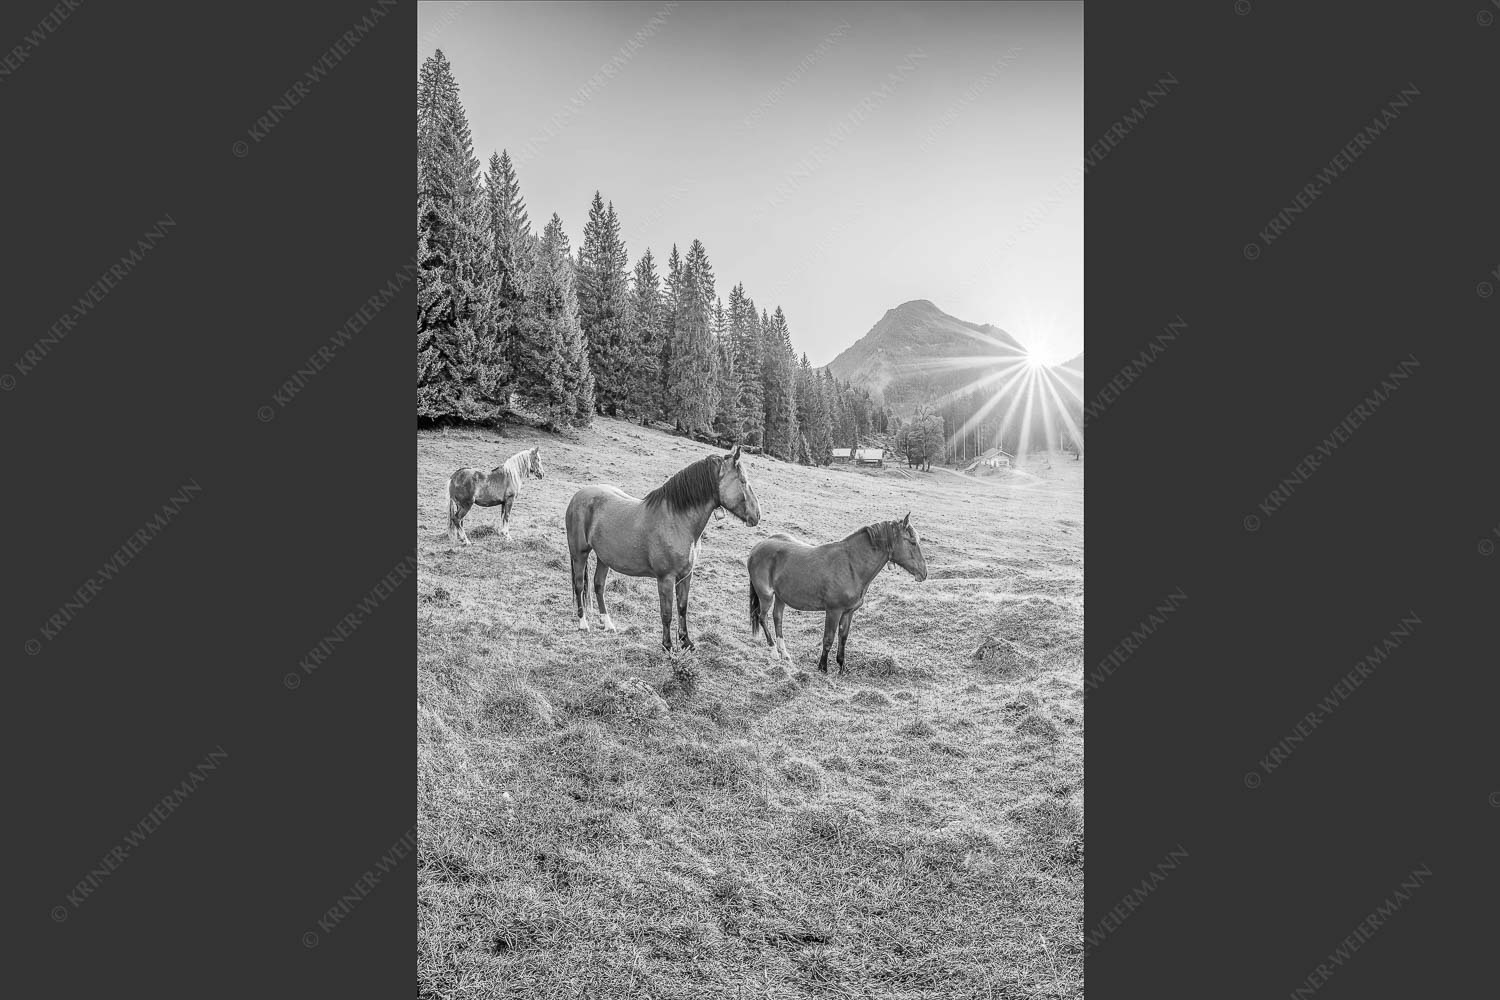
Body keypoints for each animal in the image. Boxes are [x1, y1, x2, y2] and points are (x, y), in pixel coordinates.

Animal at [565, 445, 761, 651]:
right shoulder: (665, 578)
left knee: (598, 585)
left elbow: (682, 608)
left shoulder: (686, 575)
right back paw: (583, 623)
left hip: (604, 557)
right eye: (743, 481)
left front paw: (686, 641)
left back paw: (608, 624)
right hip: (579, 554)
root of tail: (579, 495)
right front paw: (667, 645)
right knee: (579, 585)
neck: (677, 521)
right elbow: (666, 613)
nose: (757, 515)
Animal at [746, 512, 928, 674]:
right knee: (763, 618)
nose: (924, 573)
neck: (851, 565)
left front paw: (842, 667)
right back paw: (774, 652)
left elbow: (843, 638)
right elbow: (828, 639)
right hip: (766, 596)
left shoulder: (848, 612)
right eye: (912, 542)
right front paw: (823, 668)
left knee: (778, 619)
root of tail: (758, 546)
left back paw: (784, 653)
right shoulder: (833, 611)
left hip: (780, 597)